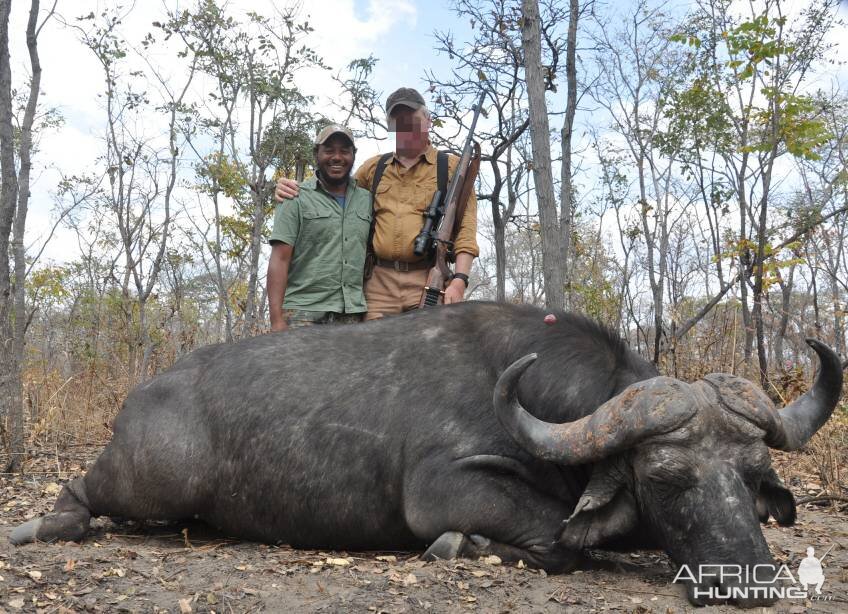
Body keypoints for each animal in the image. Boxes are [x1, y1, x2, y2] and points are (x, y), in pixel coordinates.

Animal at [9, 300, 844, 608]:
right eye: (667, 478)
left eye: (750, 476)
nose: (749, 578)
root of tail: (147, 395)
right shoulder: (444, 489)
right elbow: (556, 544)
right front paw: (462, 546)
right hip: (147, 480)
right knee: (79, 498)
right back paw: (41, 525)